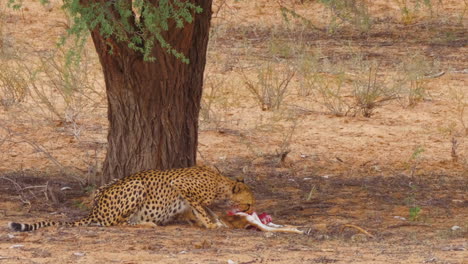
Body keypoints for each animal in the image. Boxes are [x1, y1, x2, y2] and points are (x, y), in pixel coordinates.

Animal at [7, 166, 254, 232]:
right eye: (249, 203)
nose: (251, 211)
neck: (220, 183)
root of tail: (95, 208)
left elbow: (203, 209)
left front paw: (217, 222)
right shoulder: (182, 186)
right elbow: (202, 209)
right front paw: (212, 224)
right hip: (136, 185)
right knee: (116, 223)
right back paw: (147, 223)